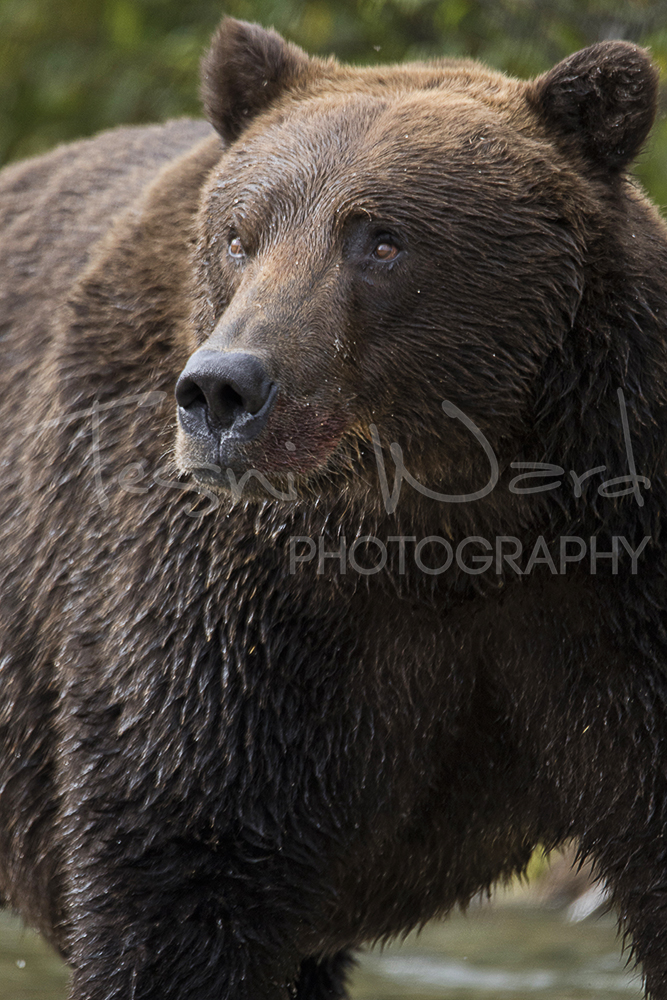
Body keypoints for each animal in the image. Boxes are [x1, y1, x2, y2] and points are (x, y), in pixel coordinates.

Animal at [1, 13, 666, 999]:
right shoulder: (223, 614)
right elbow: (177, 867)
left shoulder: (609, 575)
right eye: (238, 235)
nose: (221, 390)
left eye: (380, 238)